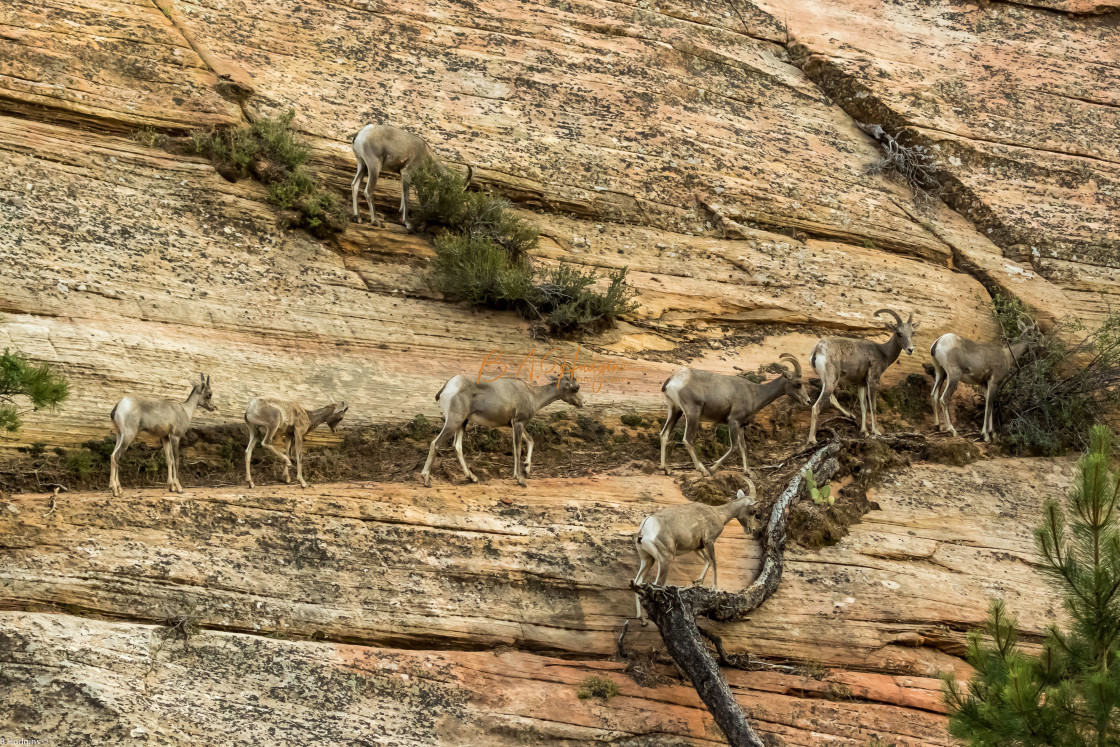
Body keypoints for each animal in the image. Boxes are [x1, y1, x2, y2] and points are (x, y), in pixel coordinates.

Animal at [421, 371, 586, 488]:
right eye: (576, 387)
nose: (583, 402)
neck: (532, 394)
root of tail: (449, 385)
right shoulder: (518, 423)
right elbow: (517, 449)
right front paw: (520, 479)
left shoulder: (516, 424)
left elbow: (531, 441)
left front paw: (526, 470)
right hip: (455, 420)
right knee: (436, 443)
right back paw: (426, 479)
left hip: (462, 422)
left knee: (457, 446)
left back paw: (472, 478)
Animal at [631, 481, 761, 622]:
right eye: (754, 511)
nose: (752, 529)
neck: (717, 513)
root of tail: (645, 527)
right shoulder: (709, 541)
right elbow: (714, 562)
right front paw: (714, 588)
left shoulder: (697, 547)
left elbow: (707, 561)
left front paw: (698, 583)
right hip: (665, 559)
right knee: (657, 584)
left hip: (648, 559)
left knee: (638, 582)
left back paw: (642, 619)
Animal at [810, 309, 922, 443]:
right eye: (899, 333)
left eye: (913, 333)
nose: (910, 349)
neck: (882, 352)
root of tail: (818, 349)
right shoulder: (872, 380)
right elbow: (872, 406)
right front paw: (876, 432)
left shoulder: (861, 384)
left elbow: (863, 406)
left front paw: (864, 432)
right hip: (831, 381)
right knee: (816, 407)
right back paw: (812, 440)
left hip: (826, 381)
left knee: (830, 399)